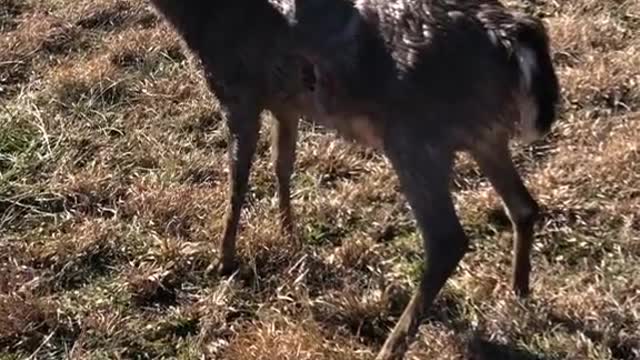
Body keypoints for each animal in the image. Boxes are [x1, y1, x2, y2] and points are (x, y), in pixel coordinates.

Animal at [148, 1, 556, 358]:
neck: (204, 19)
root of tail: (514, 37)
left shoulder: (239, 92)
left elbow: (238, 178)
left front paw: (224, 261)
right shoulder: (285, 103)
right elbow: (283, 163)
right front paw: (288, 234)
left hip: (416, 136)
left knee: (447, 239)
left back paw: (391, 346)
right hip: (484, 134)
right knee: (523, 206)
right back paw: (518, 292)